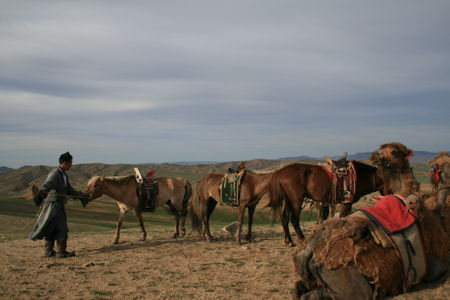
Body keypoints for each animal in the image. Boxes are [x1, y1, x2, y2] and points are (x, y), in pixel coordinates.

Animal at [292, 143, 446, 300]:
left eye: (394, 151)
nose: (374, 155)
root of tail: (307, 252)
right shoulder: (435, 266)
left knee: (299, 289)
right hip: (352, 288)